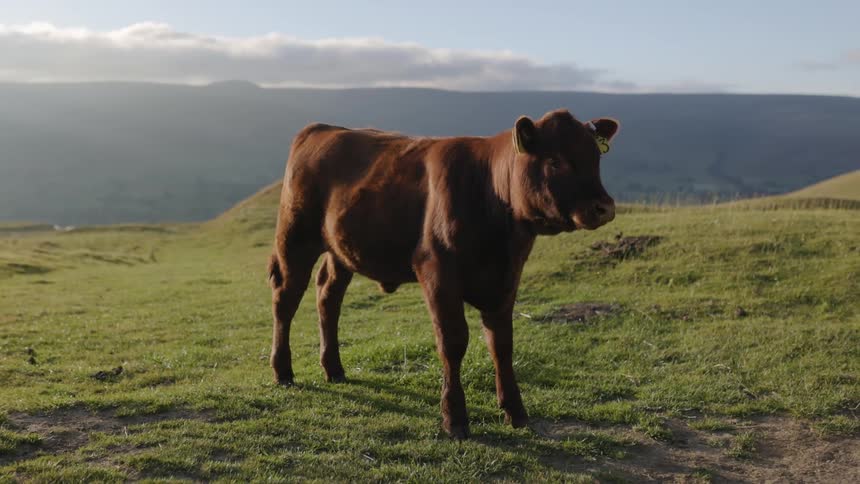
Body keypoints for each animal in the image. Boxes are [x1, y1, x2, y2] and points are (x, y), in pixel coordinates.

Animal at [268, 109, 620, 438]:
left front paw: (516, 411)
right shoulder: (437, 273)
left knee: (328, 296)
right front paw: (455, 418)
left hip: (340, 250)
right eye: (555, 161)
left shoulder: (507, 279)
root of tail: (321, 128)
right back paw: (283, 371)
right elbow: (452, 342)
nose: (604, 207)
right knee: (286, 300)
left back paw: (334, 368)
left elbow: (502, 345)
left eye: (595, 157)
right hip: (294, 238)